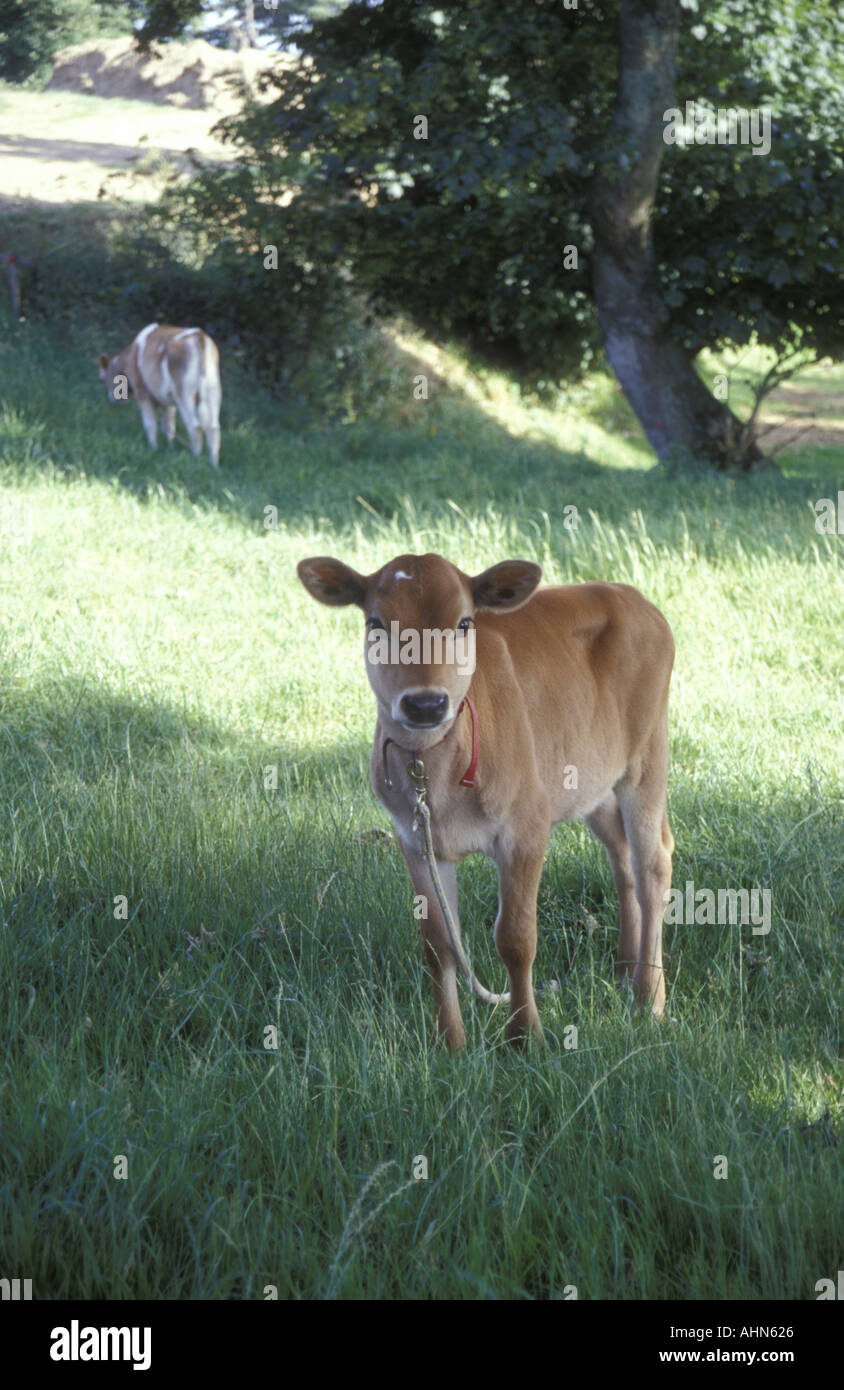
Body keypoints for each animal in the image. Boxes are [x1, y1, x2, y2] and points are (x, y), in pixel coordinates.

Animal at [98, 323, 221, 468]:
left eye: (101, 379)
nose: (110, 398)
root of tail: (198, 334)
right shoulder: (168, 402)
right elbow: (169, 427)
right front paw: (170, 449)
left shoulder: (142, 393)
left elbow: (150, 424)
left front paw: (153, 448)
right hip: (212, 391)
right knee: (213, 429)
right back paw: (214, 466)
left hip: (184, 395)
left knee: (194, 427)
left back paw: (195, 459)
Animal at [297, 552, 675, 1049]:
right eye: (376, 624)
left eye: (463, 623)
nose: (425, 704)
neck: (435, 776)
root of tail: (627, 594)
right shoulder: (415, 838)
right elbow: (438, 942)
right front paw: (450, 1042)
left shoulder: (527, 824)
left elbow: (515, 938)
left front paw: (524, 1035)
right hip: (591, 781)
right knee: (622, 854)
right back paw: (624, 970)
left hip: (646, 758)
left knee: (653, 864)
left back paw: (649, 999)